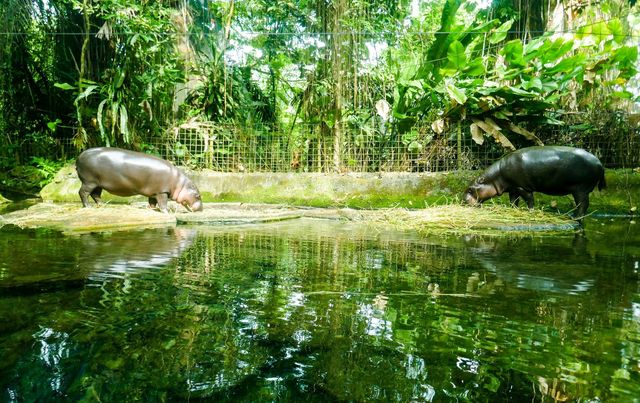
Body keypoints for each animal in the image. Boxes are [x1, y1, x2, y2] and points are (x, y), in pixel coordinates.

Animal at [464, 146, 604, 221]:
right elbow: (513, 201)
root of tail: (599, 162)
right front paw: (513, 210)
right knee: (582, 205)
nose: (463, 200)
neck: (495, 177)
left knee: (583, 204)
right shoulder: (514, 188)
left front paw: (530, 211)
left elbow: (529, 200)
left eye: (470, 189)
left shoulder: (523, 187)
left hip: (580, 189)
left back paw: (574, 218)